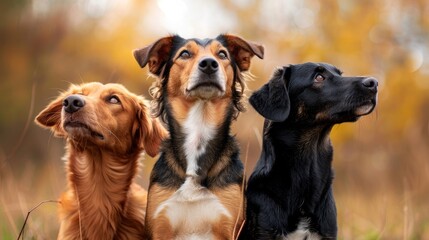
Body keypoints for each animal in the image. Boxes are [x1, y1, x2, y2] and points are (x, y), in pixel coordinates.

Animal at [132, 34, 262, 240]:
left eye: (222, 54)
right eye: (185, 54)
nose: (209, 64)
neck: (198, 132)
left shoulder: (230, 226)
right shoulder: (160, 224)